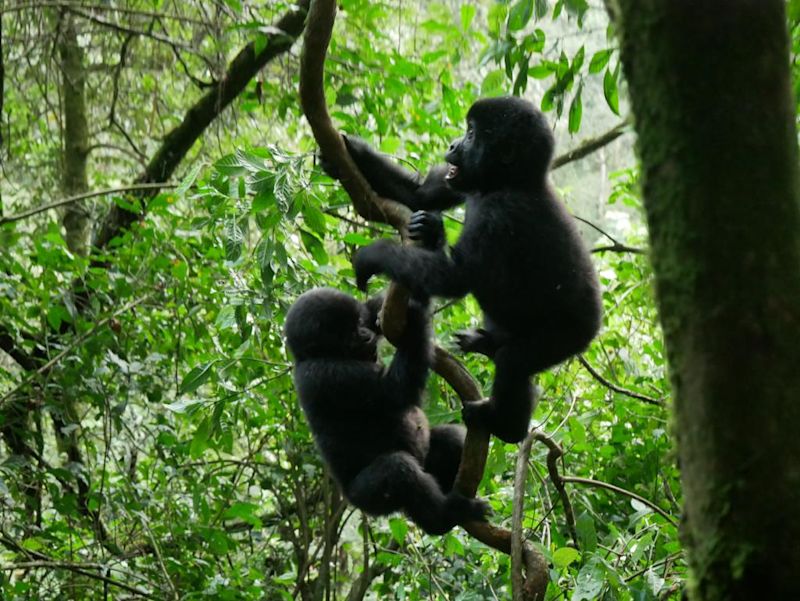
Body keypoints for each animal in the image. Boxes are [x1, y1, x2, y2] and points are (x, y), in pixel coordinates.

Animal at [284, 288, 490, 536]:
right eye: (347, 335)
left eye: (359, 322)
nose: (365, 335)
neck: (308, 356)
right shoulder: (329, 376)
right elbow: (396, 389)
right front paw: (416, 317)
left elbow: (378, 306)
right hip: (367, 499)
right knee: (398, 471)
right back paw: (445, 516)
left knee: (451, 439)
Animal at [328, 96, 604, 442]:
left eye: (471, 135)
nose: (453, 144)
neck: (508, 181)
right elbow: (419, 194)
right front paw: (349, 150)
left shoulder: (499, 212)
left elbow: (454, 278)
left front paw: (373, 255)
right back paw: (487, 343)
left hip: (570, 336)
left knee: (514, 362)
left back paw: (507, 427)